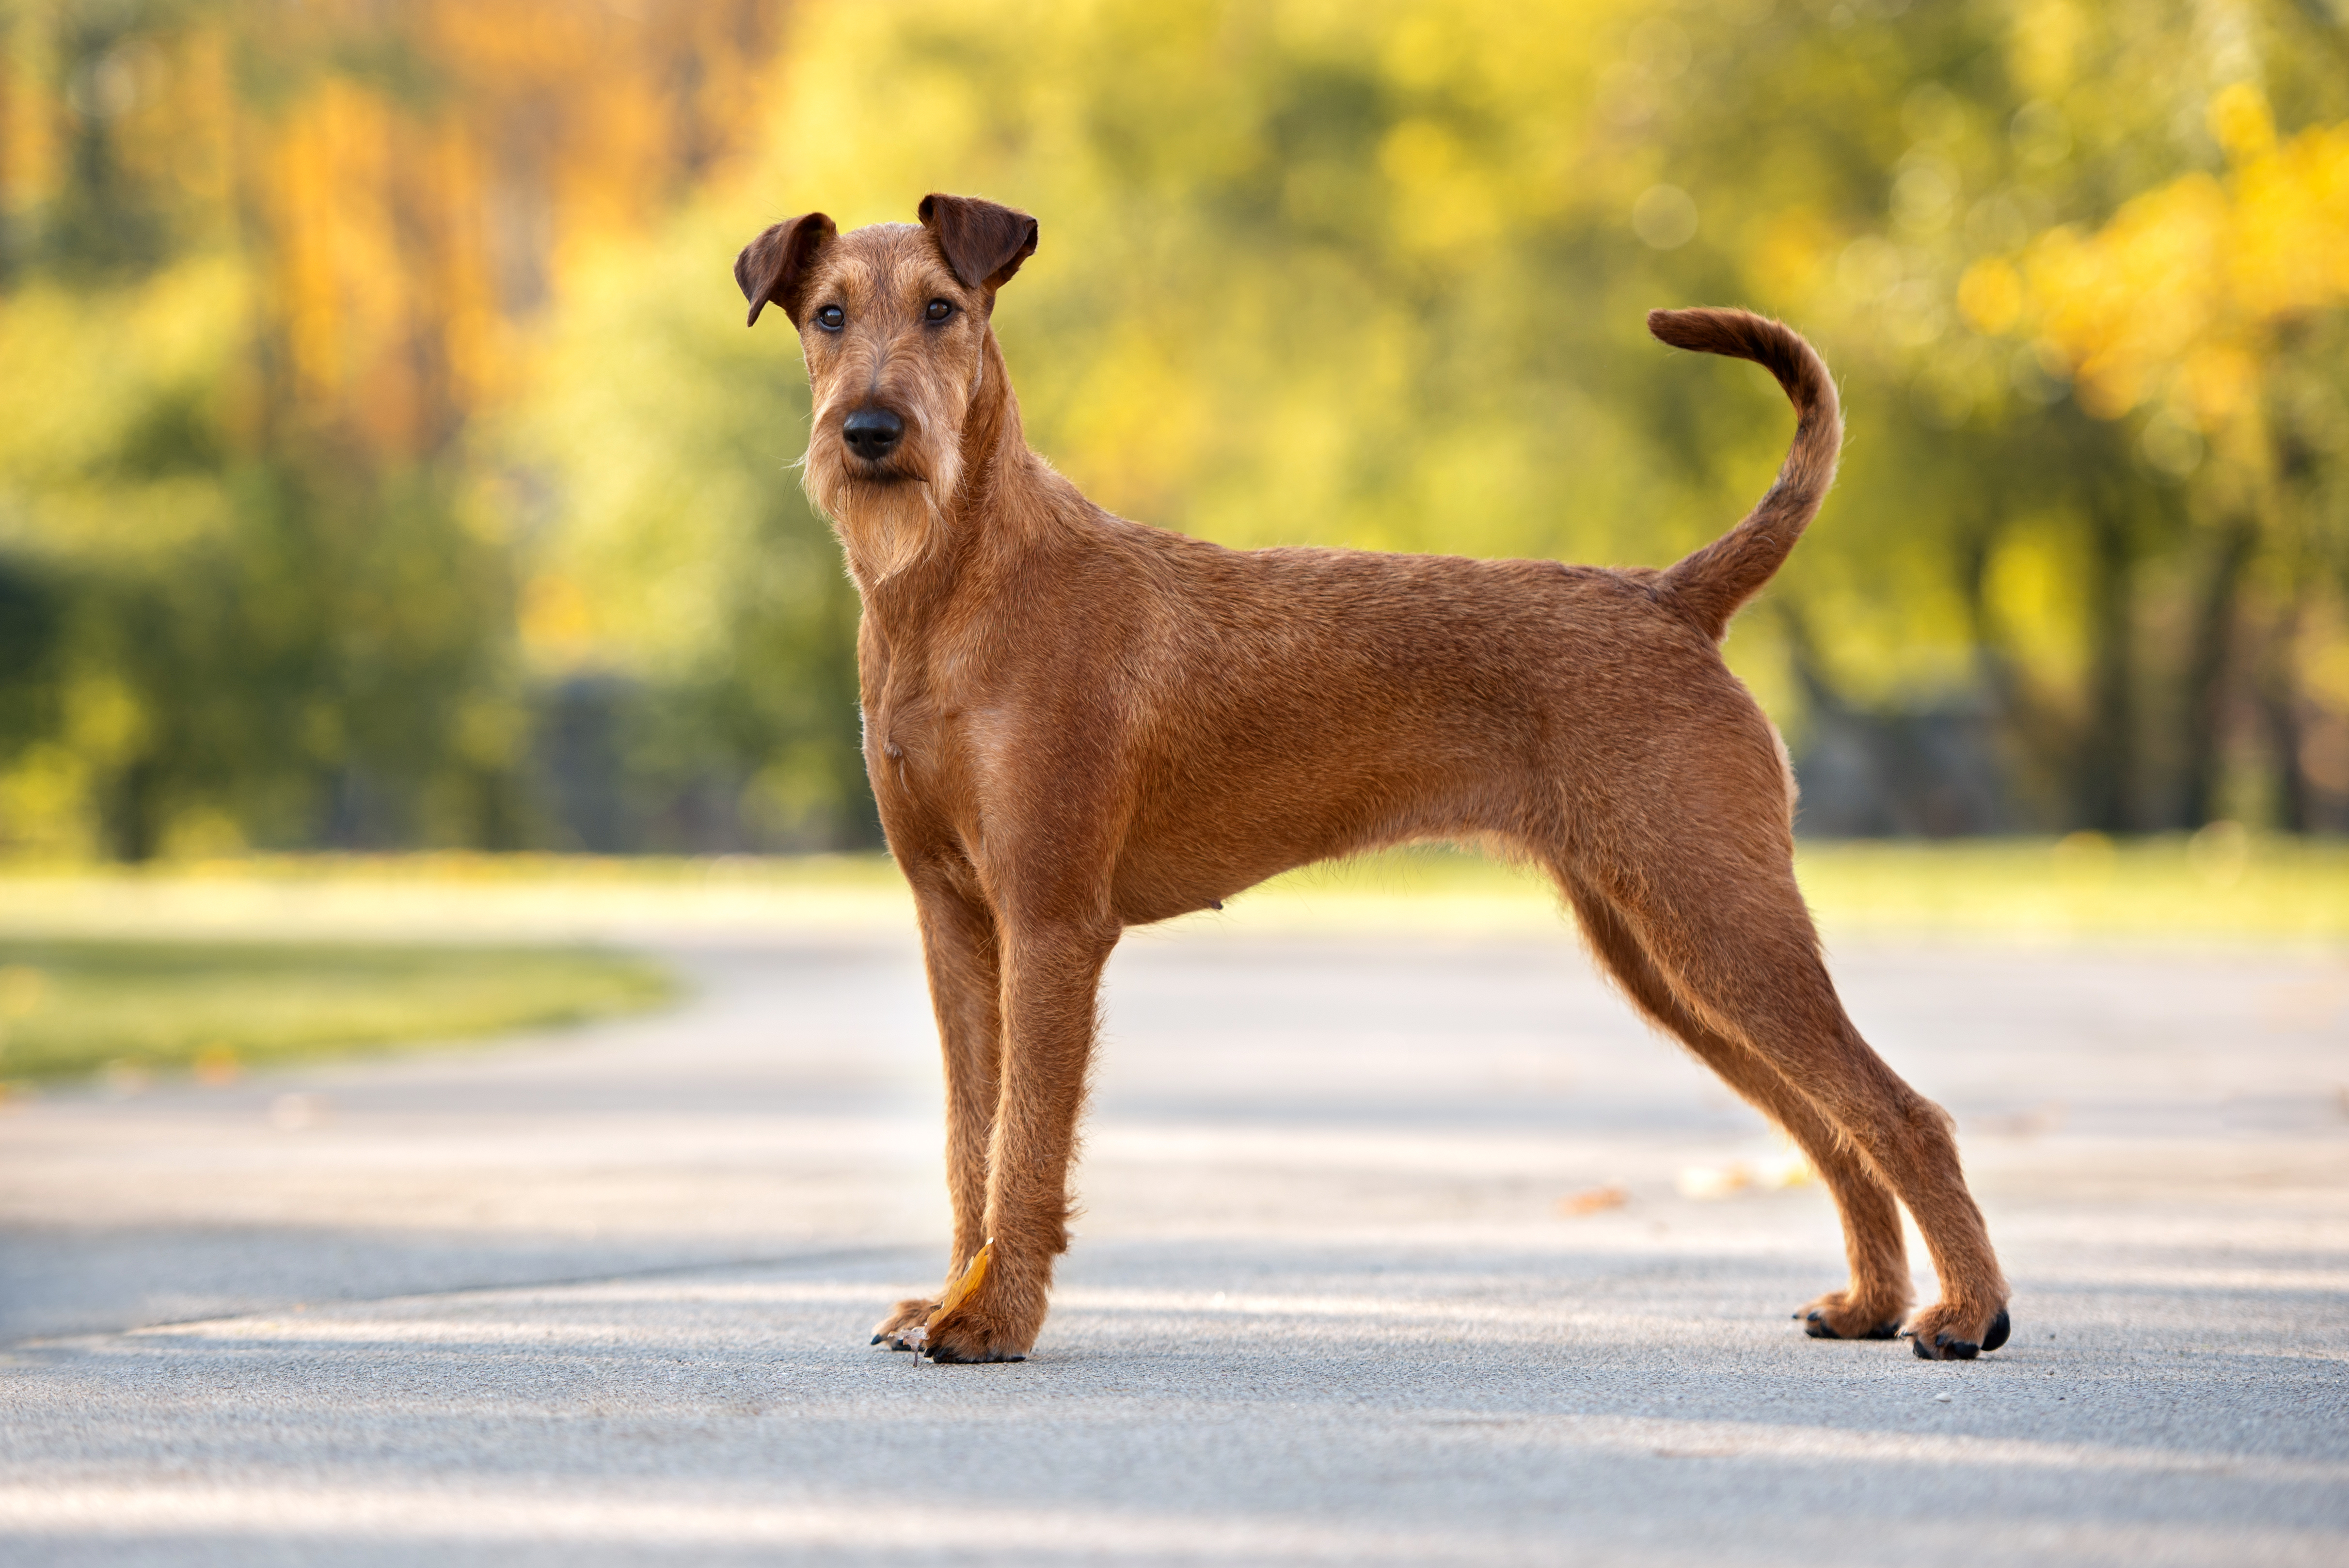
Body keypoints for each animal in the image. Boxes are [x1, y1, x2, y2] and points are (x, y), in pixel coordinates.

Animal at [728, 192, 2001, 1361]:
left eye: (942, 310)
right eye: (829, 315)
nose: (872, 429)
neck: (951, 590)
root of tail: (1670, 596)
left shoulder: (1050, 918)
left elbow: (1023, 1145)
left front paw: (992, 1319)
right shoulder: (953, 917)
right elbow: (966, 1138)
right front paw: (951, 1296)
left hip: (1716, 919)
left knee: (1903, 1112)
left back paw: (1965, 1313)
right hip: (1660, 949)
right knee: (1832, 1126)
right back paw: (1869, 1303)